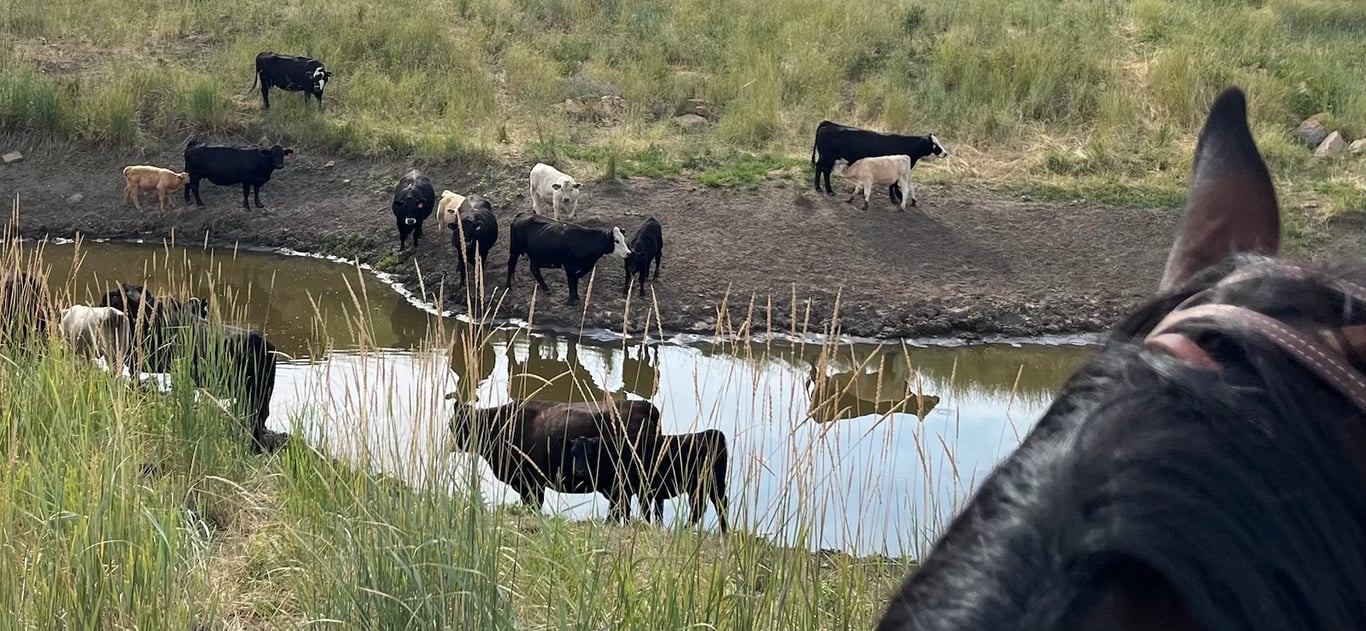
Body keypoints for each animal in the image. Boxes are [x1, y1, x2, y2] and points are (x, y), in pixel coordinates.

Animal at [448, 398, 664, 520]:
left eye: (456, 424)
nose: (450, 444)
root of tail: (643, 405)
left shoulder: (532, 483)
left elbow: (534, 506)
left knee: (622, 508)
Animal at [568, 428, 731, 534]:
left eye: (589, 453)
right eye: (573, 453)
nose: (579, 471)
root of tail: (710, 433)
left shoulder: (631, 489)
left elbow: (626, 510)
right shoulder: (622, 491)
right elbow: (623, 510)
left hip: (706, 484)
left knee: (707, 506)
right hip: (706, 486)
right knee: (712, 505)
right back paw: (722, 532)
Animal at [810, 121, 948, 203]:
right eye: (935, 144)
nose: (945, 153)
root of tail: (829, 124)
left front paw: (898, 195)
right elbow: (893, 184)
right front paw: (895, 198)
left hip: (827, 158)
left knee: (822, 169)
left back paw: (823, 189)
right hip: (827, 157)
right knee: (823, 169)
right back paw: (825, 189)